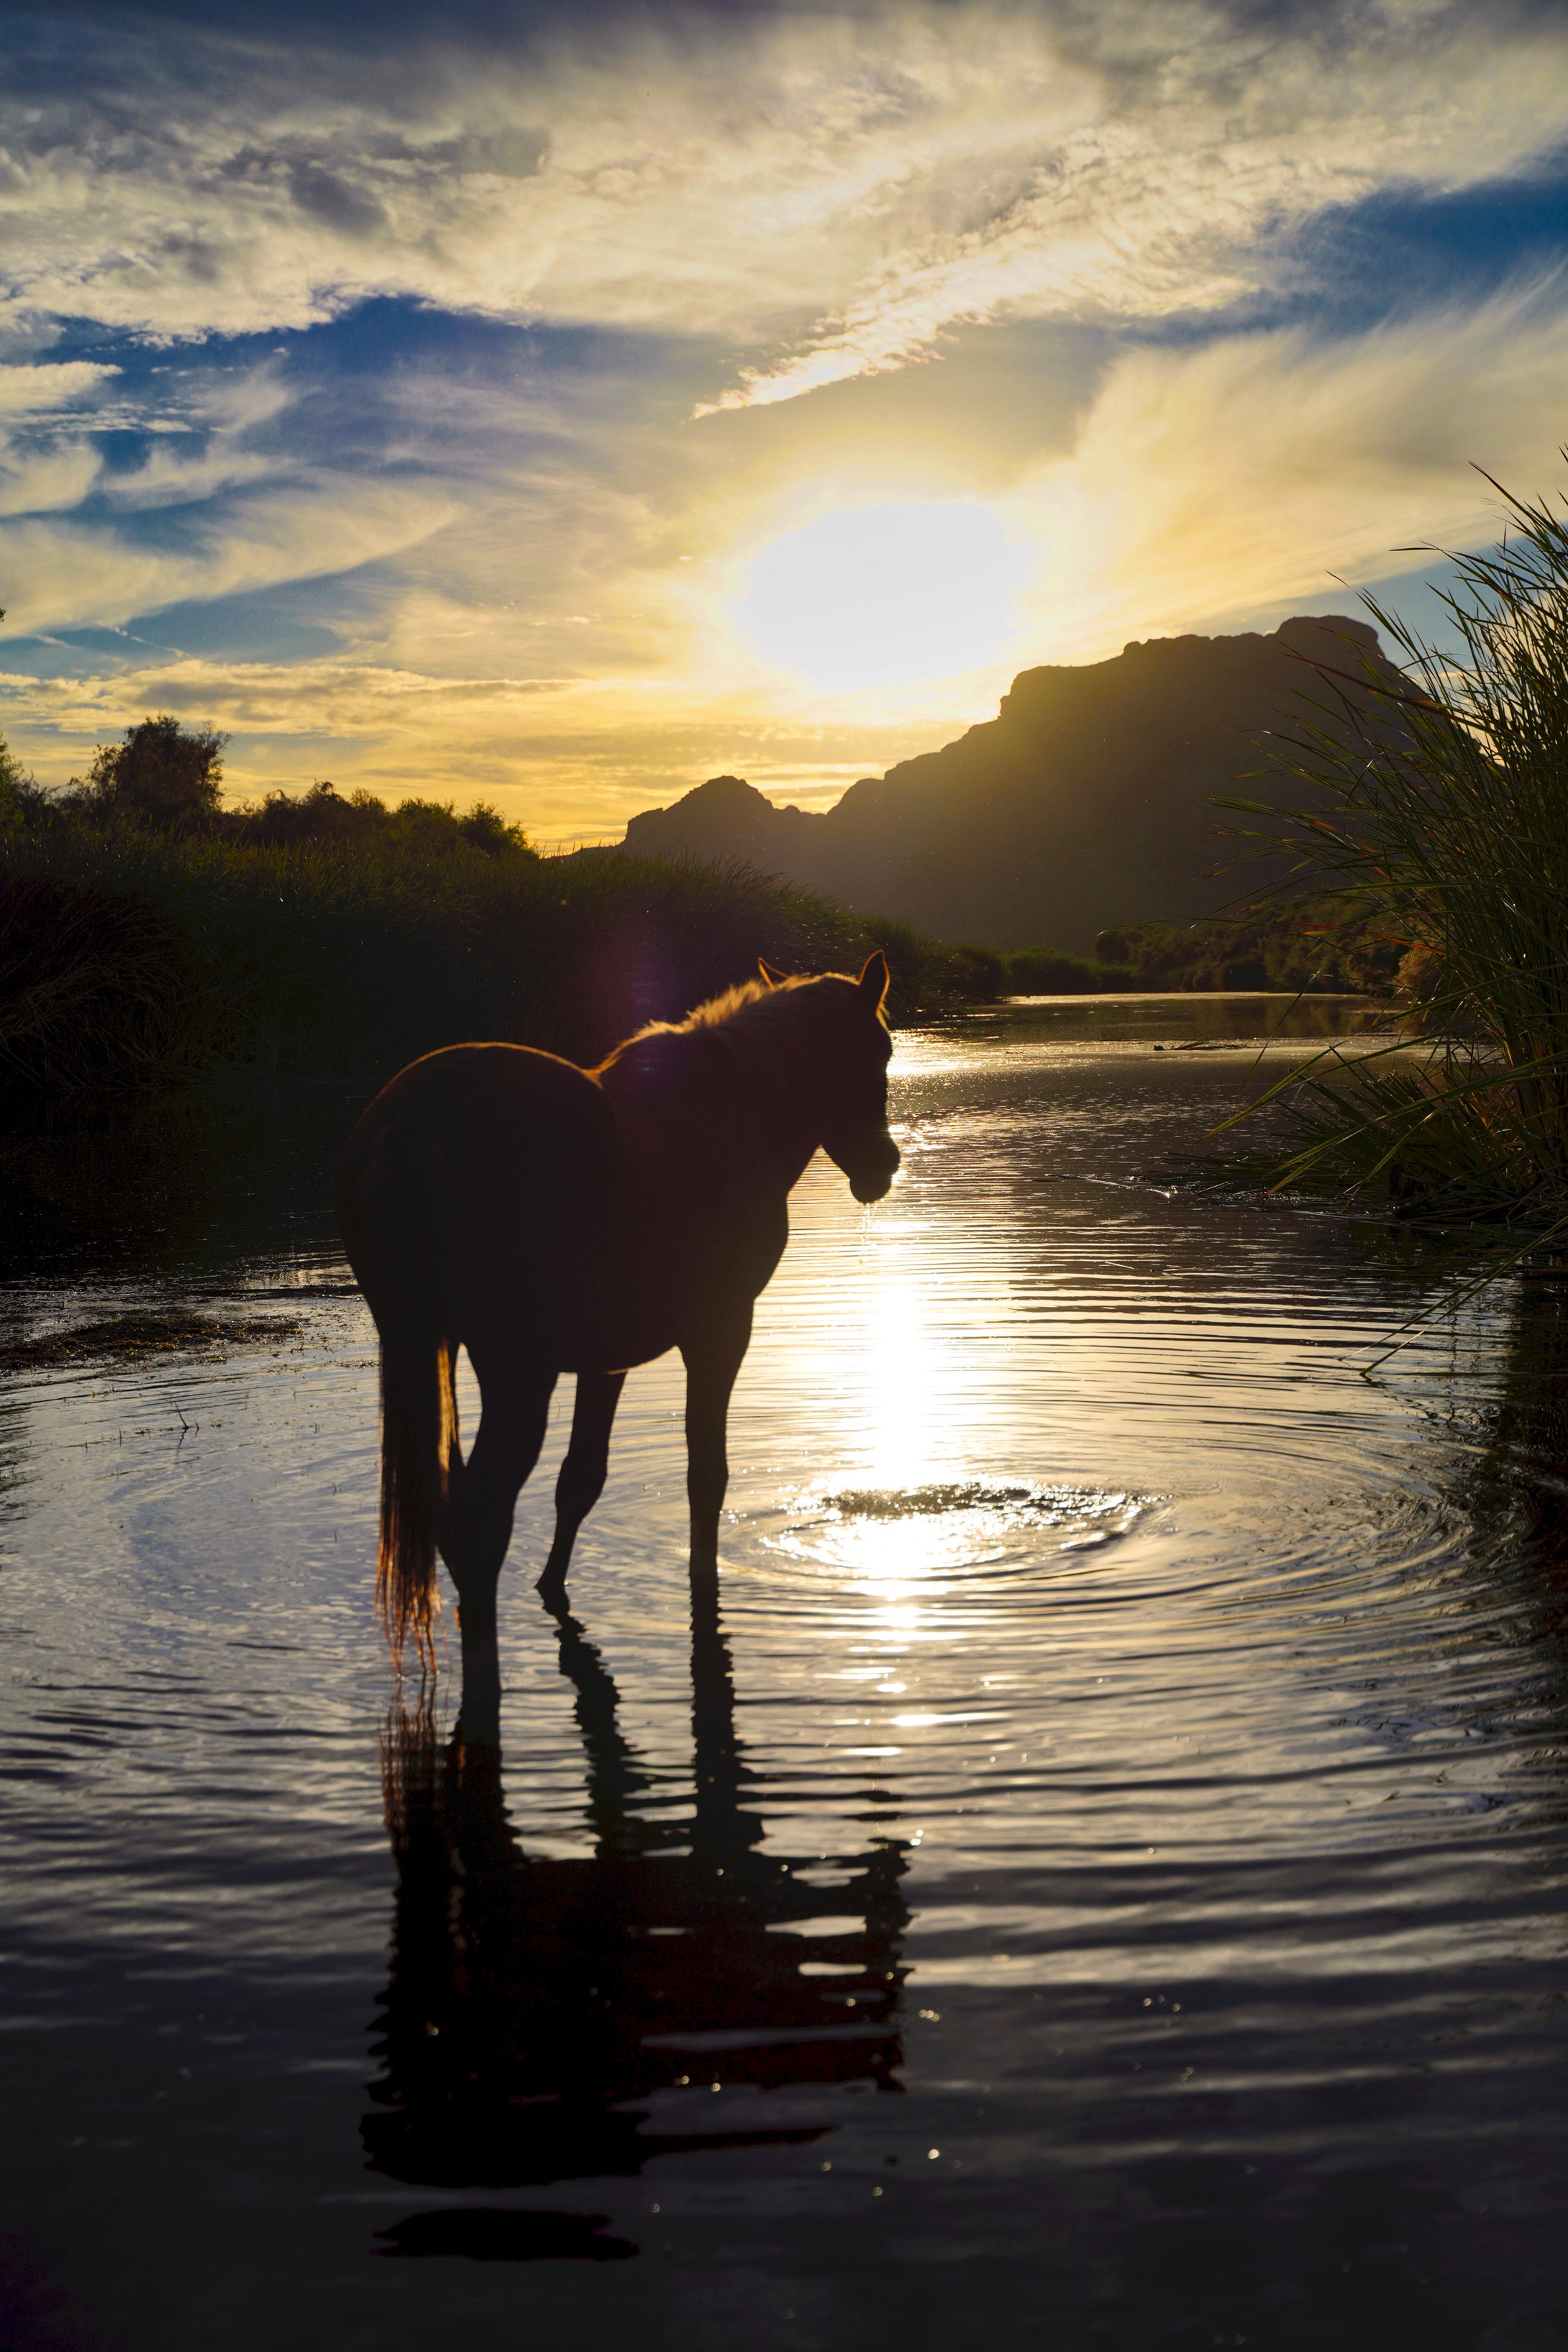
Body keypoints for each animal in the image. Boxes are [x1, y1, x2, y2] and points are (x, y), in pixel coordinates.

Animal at [334, 950, 893, 1712]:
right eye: (881, 1052)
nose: (883, 1166)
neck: (735, 1112)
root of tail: (418, 1114)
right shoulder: (721, 1330)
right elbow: (705, 1476)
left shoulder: (606, 1359)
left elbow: (581, 1481)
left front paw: (551, 1585)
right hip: (516, 1368)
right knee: (479, 1520)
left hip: (425, 1347)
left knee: (451, 1511)